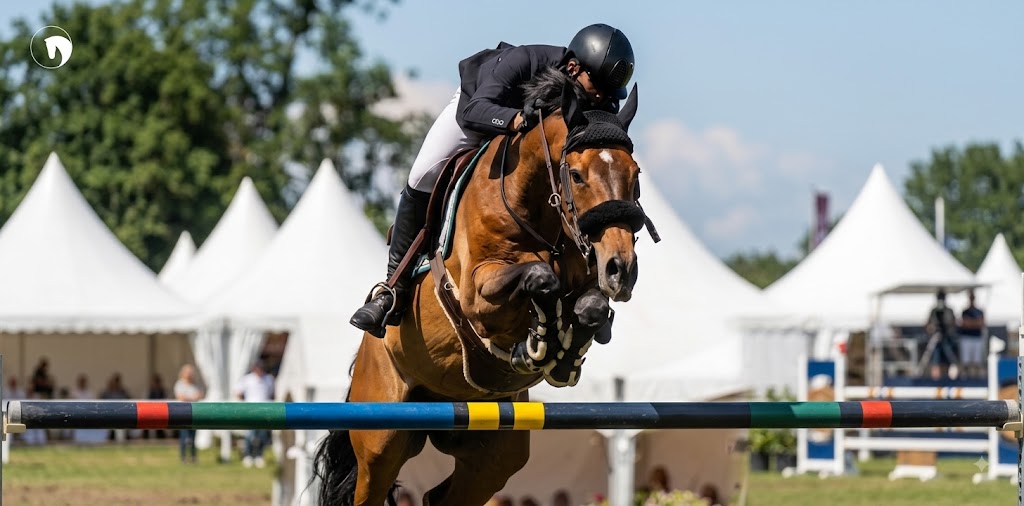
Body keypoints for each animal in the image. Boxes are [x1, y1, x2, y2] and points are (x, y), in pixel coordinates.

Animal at [315, 68, 648, 506]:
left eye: (635, 176)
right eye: (576, 175)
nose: (620, 270)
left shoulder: (586, 282)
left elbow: (591, 306)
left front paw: (563, 352)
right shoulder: (476, 296)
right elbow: (539, 277)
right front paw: (540, 341)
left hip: (493, 456)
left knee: (444, 496)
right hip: (381, 440)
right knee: (374, 482)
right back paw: (381, 305)